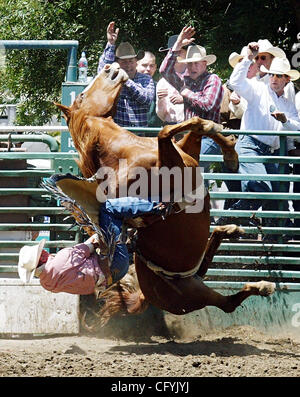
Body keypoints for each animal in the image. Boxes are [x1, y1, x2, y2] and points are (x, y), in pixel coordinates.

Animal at [52, 62, 276, 328]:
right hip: (192, 294)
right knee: (227, 304)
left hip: (195, 275)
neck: (124, 151)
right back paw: (262, 285)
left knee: (205, 264)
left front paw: (226, 147)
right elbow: (165, 131)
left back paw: (229, 229)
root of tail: (145, 295)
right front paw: (212, 128)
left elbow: (191, 129)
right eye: (82, 96)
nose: (108, 66)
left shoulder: (186, 155)